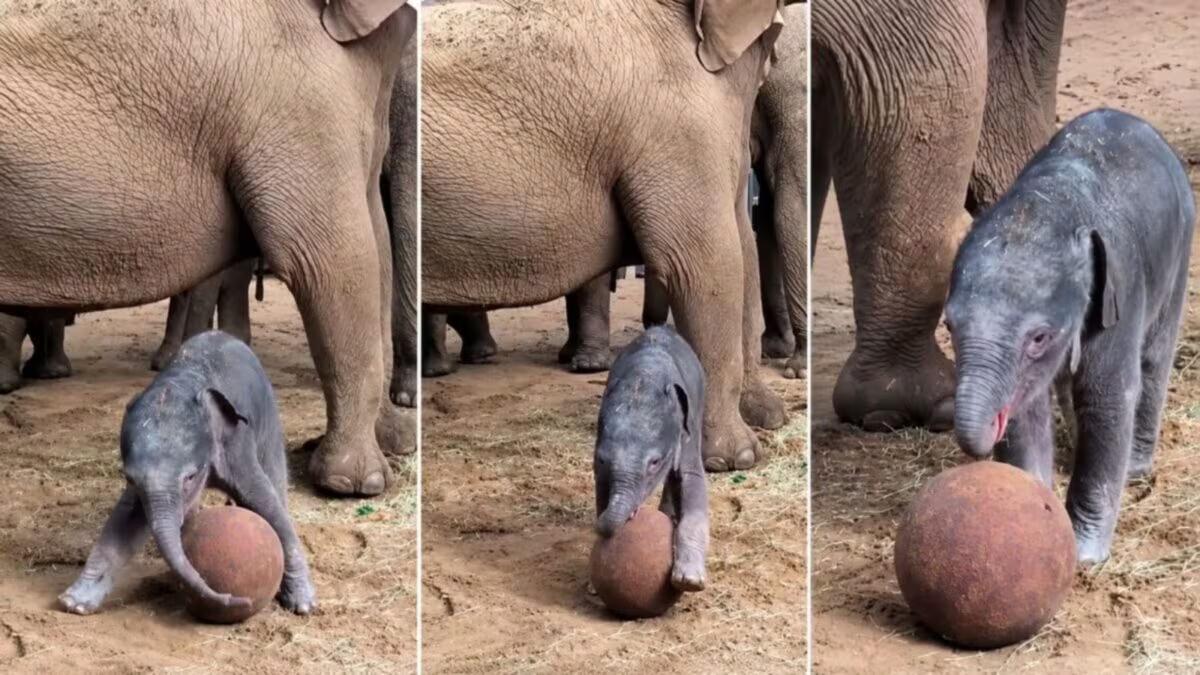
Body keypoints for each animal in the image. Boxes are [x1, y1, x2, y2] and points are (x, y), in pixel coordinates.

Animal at [60, 332, 317, 615]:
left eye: (190, 477)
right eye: (130, 478)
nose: (238, 599)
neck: (183, 381)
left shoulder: (235, 442)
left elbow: (267, 504)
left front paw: (303, 604)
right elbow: (126, 521)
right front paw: (74, 603)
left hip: (268, 420)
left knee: (275, 476)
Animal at [946, 109, 1196, 564]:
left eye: (1039, 338)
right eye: (949, 326)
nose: (989, 426)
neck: (1050, 204)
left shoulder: (1119, 294)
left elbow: (1106, 398)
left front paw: (1084, 556)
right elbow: (1027, 411)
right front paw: (1035, 508)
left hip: (1180, 248)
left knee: (1154, 361)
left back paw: (1135, 470)